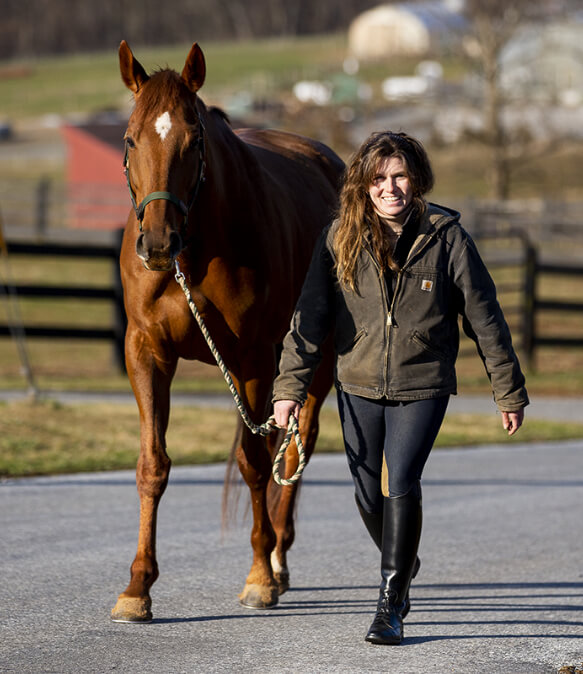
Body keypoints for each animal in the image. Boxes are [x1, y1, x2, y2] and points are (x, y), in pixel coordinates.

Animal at [112, 40, 344, 620]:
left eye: (194, 141)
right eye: (130, 138)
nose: (157, 243)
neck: (197, 248)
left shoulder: (253, 360)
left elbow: (255, 464)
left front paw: (260, 576)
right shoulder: (147, 352)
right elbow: (153, 464)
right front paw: (137, 587)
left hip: (317, 362)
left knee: (295, 446)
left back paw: (278, 560)